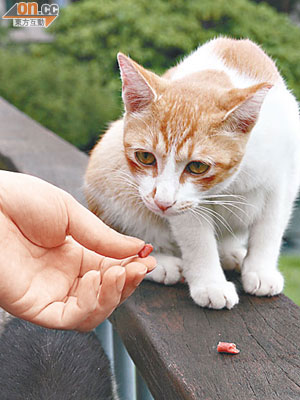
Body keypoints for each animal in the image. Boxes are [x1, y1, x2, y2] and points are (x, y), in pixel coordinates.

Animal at [84, 37, 300, 310]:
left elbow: (271, 225)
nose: (161, 202)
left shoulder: (286, 174)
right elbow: (197, 239)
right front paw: (211, 285)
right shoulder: (185, 204)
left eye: (198, 166)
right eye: (145, 157)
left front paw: (261, 270)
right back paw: (161, 263)